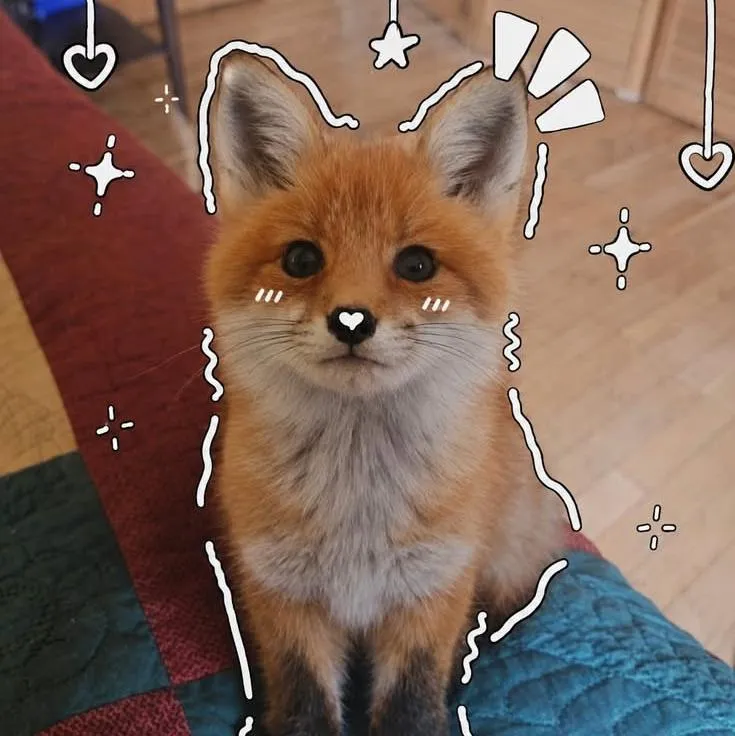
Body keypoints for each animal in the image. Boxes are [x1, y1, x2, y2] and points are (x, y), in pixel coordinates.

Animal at [205, 52, 564, 736]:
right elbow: (305, 708)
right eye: (301, 259)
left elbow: (412, 706)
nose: (351, 321)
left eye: (416, 265)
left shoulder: (431, 594)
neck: (357, 505)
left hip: (500, 562)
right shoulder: (282, 596)